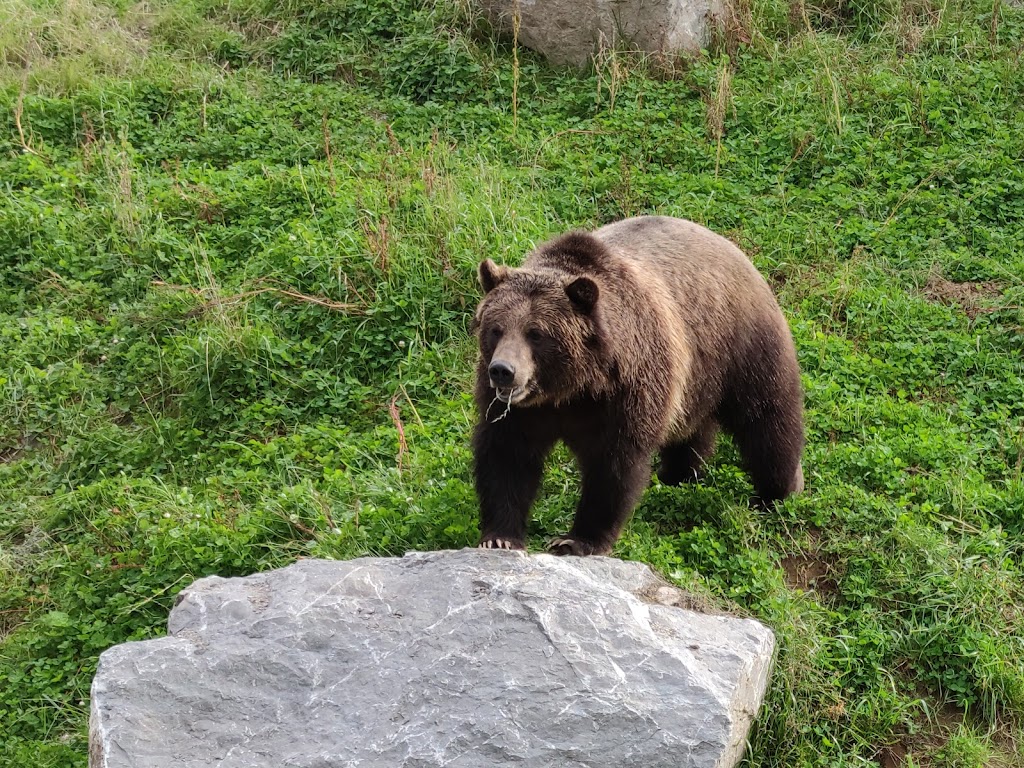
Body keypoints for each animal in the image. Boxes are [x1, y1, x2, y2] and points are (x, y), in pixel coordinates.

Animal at [468, 214, 798, 557]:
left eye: (536, 333)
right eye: (495, 328)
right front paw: (500, 536)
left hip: (741, 344)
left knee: (766, 417)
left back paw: (776, 493)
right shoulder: (521, 412)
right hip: (696, 379)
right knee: (692, 429)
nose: (503, 371)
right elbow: (508, 456)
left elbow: (614, 464)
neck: (572, 387)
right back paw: (678, 475)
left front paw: (577, 540)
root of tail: (734, 250)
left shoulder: (626, 389)